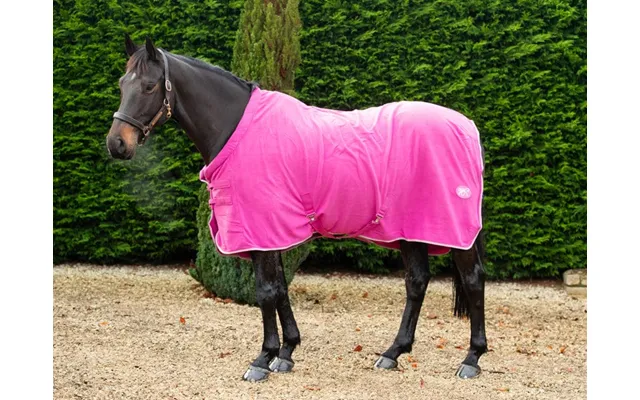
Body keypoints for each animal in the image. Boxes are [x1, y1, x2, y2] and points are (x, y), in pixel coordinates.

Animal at [106, 35, 488, 382]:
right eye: (123, 84)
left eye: (149, 85)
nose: (116, 144)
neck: (238, 129)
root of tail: (466, 126)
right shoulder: (269, 231)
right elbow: (280, 289)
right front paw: (286, 352)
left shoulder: (260, 227)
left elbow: (266, 291)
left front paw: (262, 359)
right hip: (409, 231)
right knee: (416, 282)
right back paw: (393, 353)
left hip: (454, 232)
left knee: (472, 279)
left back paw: (471, 359)